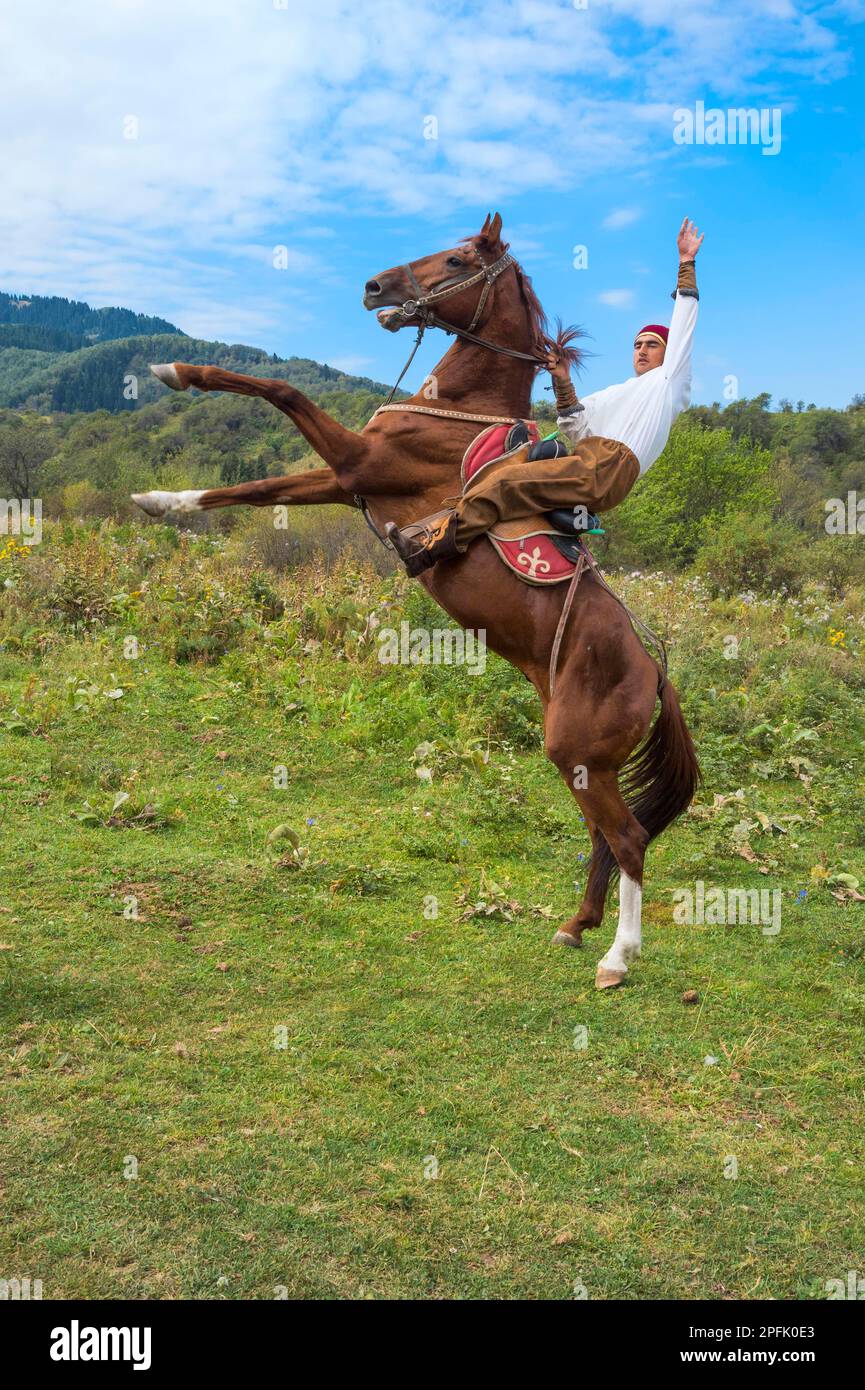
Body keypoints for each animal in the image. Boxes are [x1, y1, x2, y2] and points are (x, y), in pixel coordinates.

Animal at [132, 212, 699, 988]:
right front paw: (165, 499)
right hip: (586, 763)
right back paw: (576, 926)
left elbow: (281, 390)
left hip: (576, 751)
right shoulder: (345, 479)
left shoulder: (358, 463)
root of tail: (654, 674)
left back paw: (617, 956)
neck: (457, 409)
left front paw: (175, 375)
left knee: (630, 837)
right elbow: (255, 487)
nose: (375, 286)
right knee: (603, 838)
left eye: (457, 260)